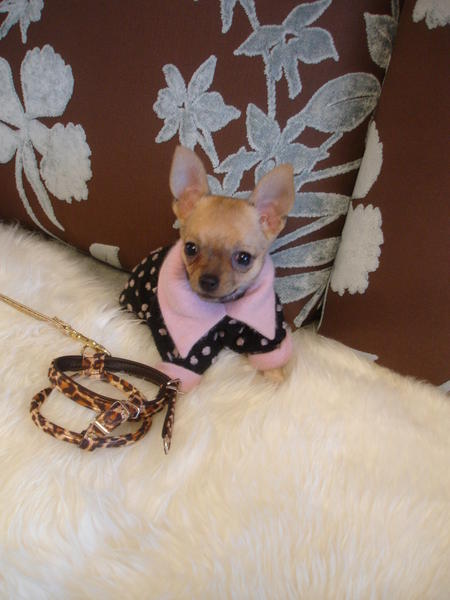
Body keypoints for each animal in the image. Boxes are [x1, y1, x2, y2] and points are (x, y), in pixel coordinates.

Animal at [120, 145, 294, 391]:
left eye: (244, 258)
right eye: (190, 248)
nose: (208, 280)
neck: (224, 313)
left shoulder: (262, 333)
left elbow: (271, 359)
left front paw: (277, 383)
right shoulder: (185, 350)